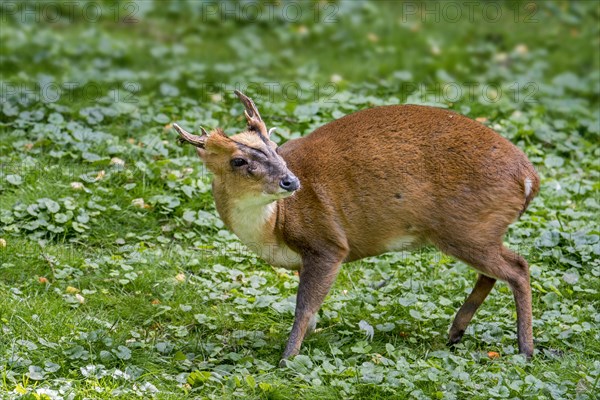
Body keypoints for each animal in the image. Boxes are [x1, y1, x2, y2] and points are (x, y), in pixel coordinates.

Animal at [172, 91, 540, 366]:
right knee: (496, 271)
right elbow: (311, 309)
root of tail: (529, 178)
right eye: (238, 160)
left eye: (275, 149)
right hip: (475, 231)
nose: (291, 181)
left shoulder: (328, 243)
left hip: (466, 227)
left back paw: (525, 349)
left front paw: (287, 358)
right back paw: (455, 333)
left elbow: (304, 305)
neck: (275, 225)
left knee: (518, 267)